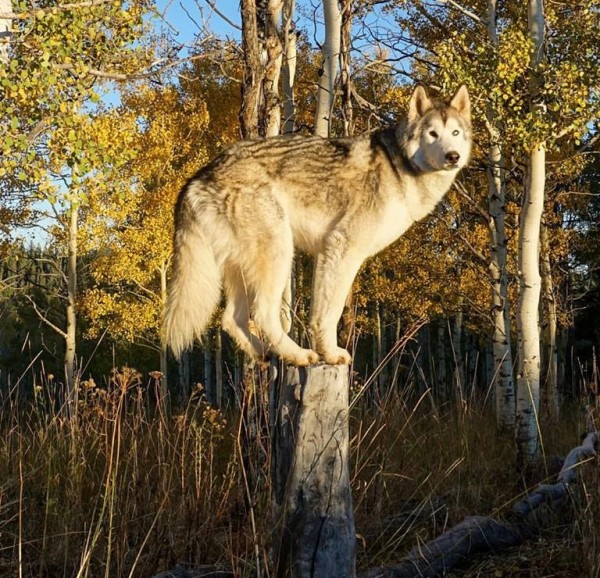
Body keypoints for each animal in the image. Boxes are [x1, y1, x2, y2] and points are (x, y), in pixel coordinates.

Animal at [166, 84, 472, 364]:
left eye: (455, 133)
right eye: (432, 134)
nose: (452, 156)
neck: (401, 168)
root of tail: (200, 176)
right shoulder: (342, 248)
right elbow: (329, 312)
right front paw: (330, 354)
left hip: (245, 268)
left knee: (231, 319)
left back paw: (267, 354)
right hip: (279, 254)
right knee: (262, 313)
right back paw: (299, 355)